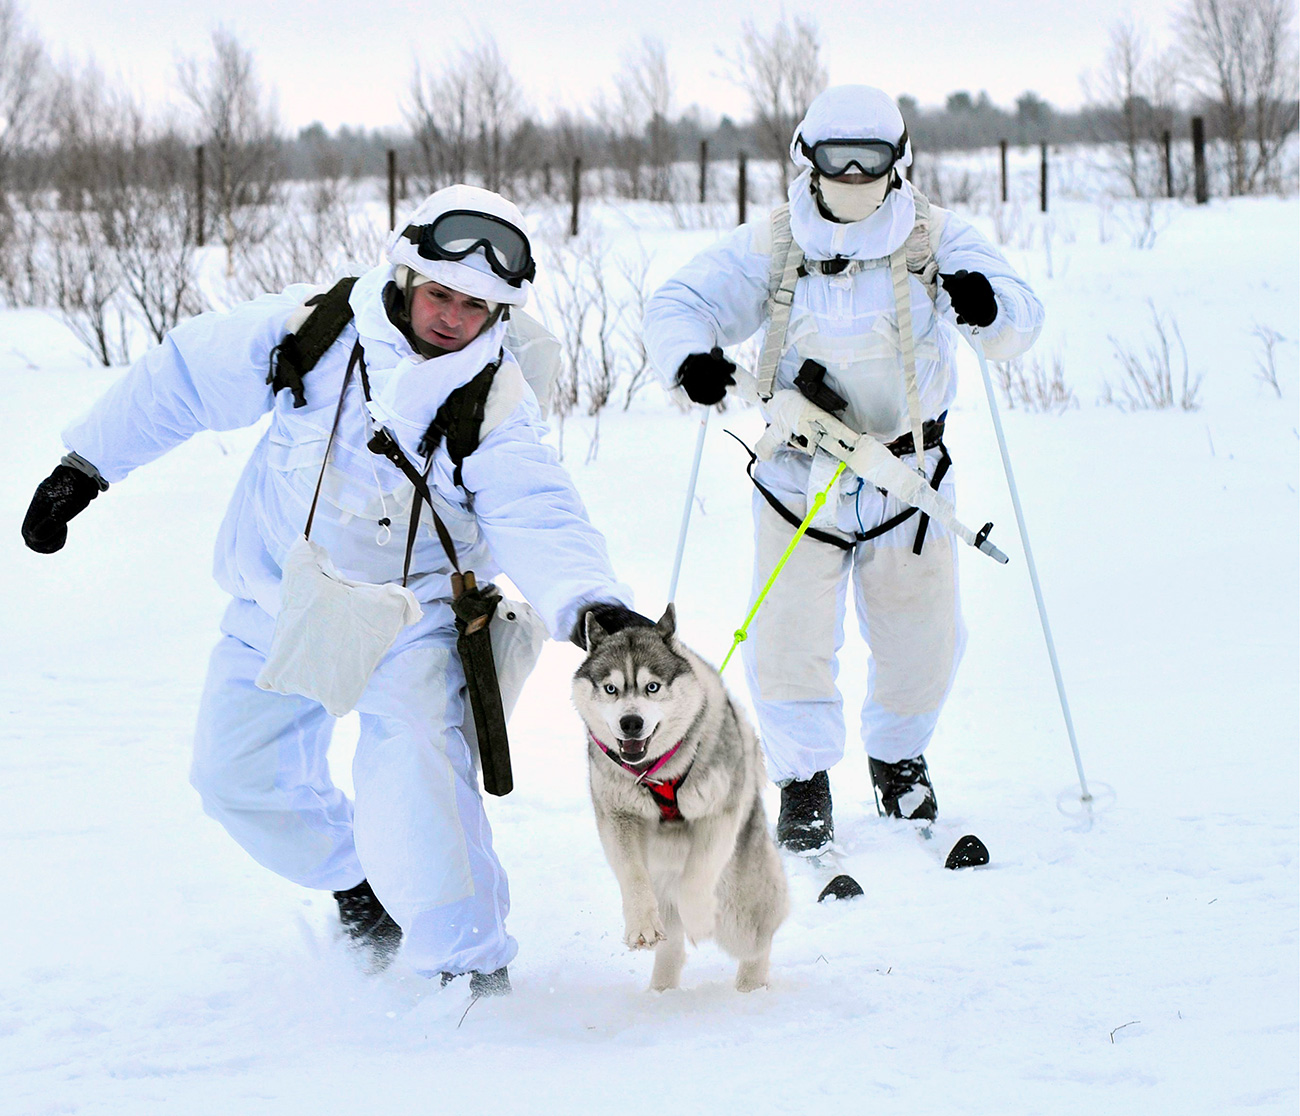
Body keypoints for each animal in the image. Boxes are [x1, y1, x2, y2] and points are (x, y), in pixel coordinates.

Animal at [572, 603, 790, 988]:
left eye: (652, 687)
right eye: (611, 688)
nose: (631, 723)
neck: (657, 772)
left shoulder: (718, 813)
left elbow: (698, 873)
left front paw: (699, 919)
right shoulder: (618, 816)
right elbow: (632, 874)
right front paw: (641, 925)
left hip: (739, 896)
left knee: (756, 938)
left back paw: (750, 988)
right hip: (664, 887)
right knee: (671, 946)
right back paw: (661, 992)